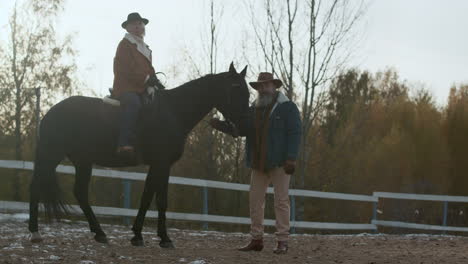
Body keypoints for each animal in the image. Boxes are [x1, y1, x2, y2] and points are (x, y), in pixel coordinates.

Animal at [27, 63, 250, 248]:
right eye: (235, 89)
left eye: (247, 91)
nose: (242, 124)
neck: (174, 112)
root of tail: (51, 112)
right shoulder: (162, 163)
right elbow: (160, 199)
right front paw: (163, 238)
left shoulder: (159, 165)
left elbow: (148, 197)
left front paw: (139, 235)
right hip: (51, 155)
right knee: (36, 187)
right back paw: (35, 233)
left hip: (83, 161)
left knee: (80, 192)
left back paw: (100, 233)